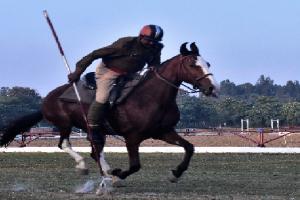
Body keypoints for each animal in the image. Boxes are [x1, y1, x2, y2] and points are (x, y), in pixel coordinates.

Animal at [0, 42, 217, 194]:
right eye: (192, 64)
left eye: (207, 63)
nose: (211, 88)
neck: (150, 97)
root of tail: (47, 99)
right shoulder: (132, 138)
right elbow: (135, 165)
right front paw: (119, 175)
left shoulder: (164, 132)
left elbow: (189, 147)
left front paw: (176, 174)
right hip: (65, 124)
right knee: (65, 144)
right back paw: (86, 167)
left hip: (95, 130)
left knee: (95, 152)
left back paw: (106, 174)